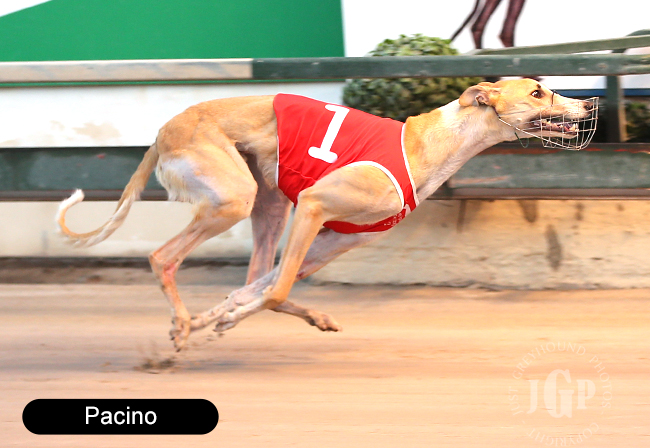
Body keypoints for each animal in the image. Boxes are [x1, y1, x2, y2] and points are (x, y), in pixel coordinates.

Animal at [57, 79, 595, 350]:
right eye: (537, 93)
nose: (589, 104)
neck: (430, 143)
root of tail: (162, 130)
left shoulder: (334, 239)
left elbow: (258, 288)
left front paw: (224, 316)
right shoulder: (315, 207)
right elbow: (274, 291)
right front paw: (222, 320)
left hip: (270, 203)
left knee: (253, 273)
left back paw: (205, 320)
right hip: (236, 197)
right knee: (163, 258)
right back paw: (185, 326)